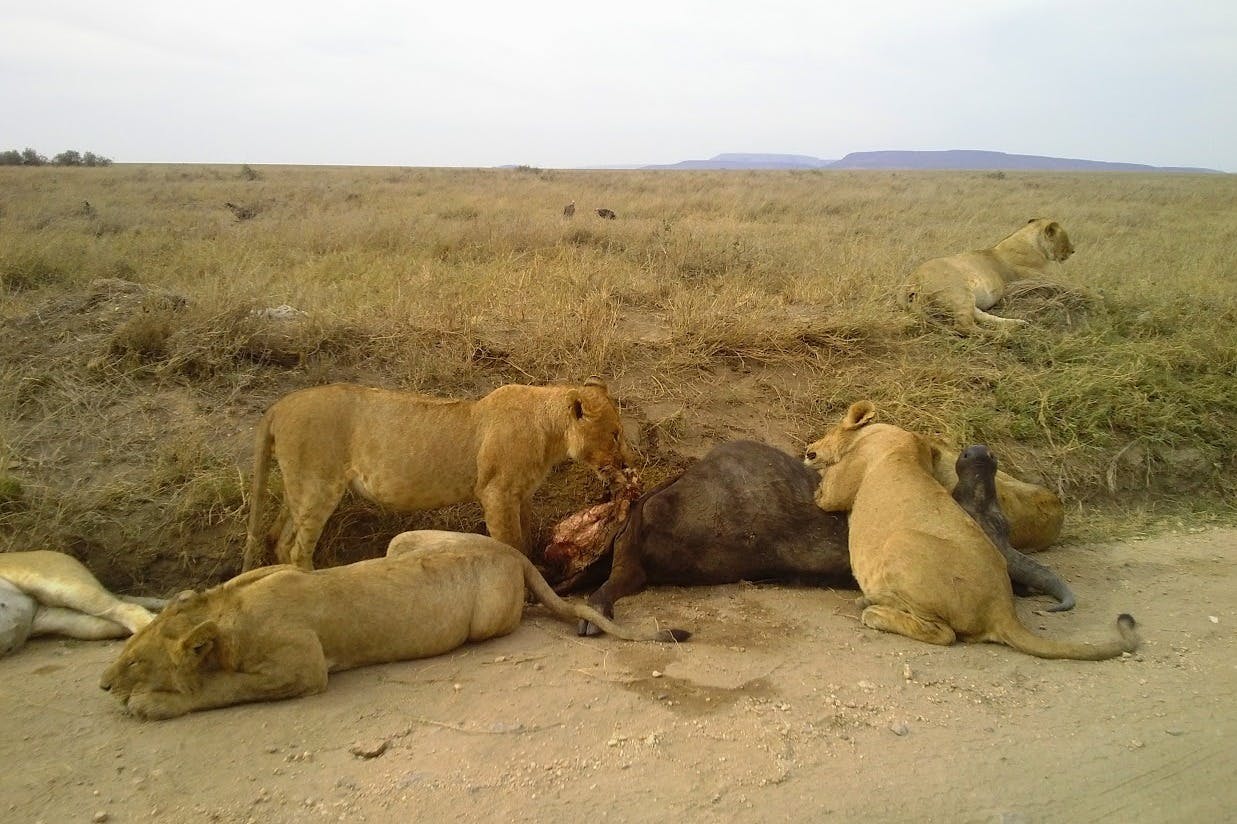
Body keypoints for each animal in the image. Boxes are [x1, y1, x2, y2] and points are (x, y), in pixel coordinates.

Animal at [101, 532, 689, 720]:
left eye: (134, 660)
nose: (103, 684)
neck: (226, 615)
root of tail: (511, 552)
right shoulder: (278, 571)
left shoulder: (304, 669)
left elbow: (224, 689)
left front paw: (150, 702)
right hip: (401, 540)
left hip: (486, 620)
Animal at [244, 378, 635, 571]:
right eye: (615, 434)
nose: (627, 462)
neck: (551, 433)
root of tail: (278, 406)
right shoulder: (496, 493)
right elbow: (512, 543)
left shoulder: (520, 495)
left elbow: (526, 536)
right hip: (318, 485)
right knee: (298, 548)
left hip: (300, 487)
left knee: (279, 538)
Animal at [804, 401, 1138, 660]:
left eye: (829, 431)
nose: (809, 450)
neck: (898, 437)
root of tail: (1003, 609)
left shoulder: (836, 490)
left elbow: (825, 492)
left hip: (902, 542)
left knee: (943, 633)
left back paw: (871, 609)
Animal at [900, 218, 1075, 334]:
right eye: (1066, 237)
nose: (1073, 250)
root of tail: (912, 278)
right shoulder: (1039, 281)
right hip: (959, 292)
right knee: (964, 326)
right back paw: (1001, 335)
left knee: (980, 316)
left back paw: (1018, 324)